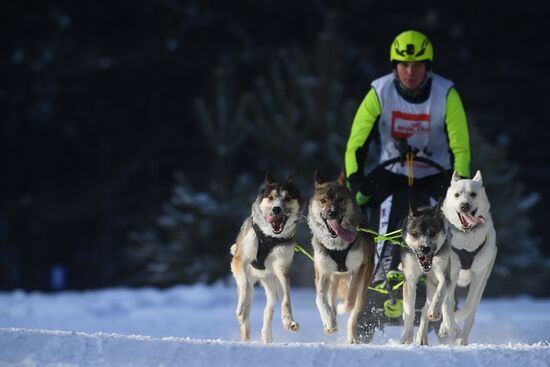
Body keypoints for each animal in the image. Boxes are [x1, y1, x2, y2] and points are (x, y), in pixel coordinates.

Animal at [231, 171, 304, 344]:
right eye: (270, 198)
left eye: (287, 198)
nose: (276, 209)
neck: (270, 237)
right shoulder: (239, 261)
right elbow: (244, 284)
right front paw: (242, 309)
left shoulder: (282, 269)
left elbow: (286, 299)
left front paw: (288, 320)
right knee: (247, 313)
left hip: (271, 285)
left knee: (268, 310)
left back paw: (266, 336)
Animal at [306, 171, 376, 344]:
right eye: (323, 200)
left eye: (340, 199)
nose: (332, 212)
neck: (337, 246)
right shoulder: (322, 272)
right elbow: (320, 299)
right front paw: (328, 319)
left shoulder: (358, 270)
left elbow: (350, 301)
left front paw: (341, 308)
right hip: (333, 278)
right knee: (330, 297)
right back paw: (330, 322)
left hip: (362, 286)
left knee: (353, 314)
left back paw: (351, 336)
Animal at [402, 200, 452, 346]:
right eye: (414, 234)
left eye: (433, 233)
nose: (425, 248)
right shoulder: (410, 280)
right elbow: (410, 310)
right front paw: (406, 337)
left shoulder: (443, 275)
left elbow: (440, 291)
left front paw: (434, 311)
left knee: (431, 306)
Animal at [440, 171, 500, 346]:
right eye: (457, 195)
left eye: (473, 194)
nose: (464, 205)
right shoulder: (450, 273)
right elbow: (447, 302)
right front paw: (448, 326)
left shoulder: (479, 275)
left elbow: (467, 306)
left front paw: (452, 325)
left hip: (484, 280)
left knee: (471, 313)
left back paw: (462, 339)